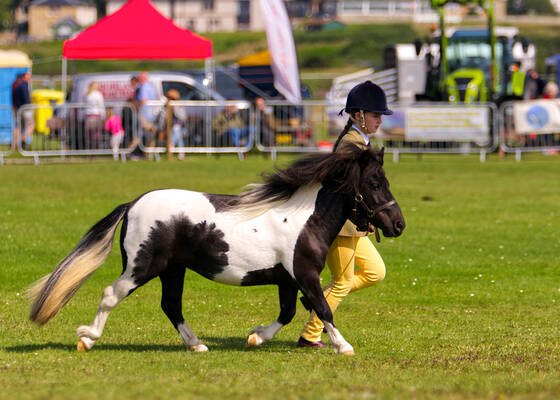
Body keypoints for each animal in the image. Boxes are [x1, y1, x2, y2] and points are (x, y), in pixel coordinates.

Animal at [28, 145, 404, 354]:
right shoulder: (304, 274)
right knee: (111, 294)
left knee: (171, 306)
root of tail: (133, 204)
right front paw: (344, 346)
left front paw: (255, 338)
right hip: (142, 267)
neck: (302, 219)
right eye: (375, 183)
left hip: (173, 270)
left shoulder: (287, 280)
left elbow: (288, 312)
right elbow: (324, 308)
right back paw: (87, 339)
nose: (398, 224)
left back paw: (196, 344)